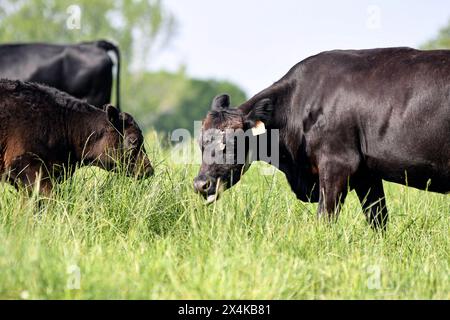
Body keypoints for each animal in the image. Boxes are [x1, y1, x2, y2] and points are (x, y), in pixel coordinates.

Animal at [193, 46, 450, 229]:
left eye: (232, 142)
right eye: (200, 143)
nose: (200, 184)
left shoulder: (337, 164)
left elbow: (325, 219)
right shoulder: (366, 174)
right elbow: (378, 220)